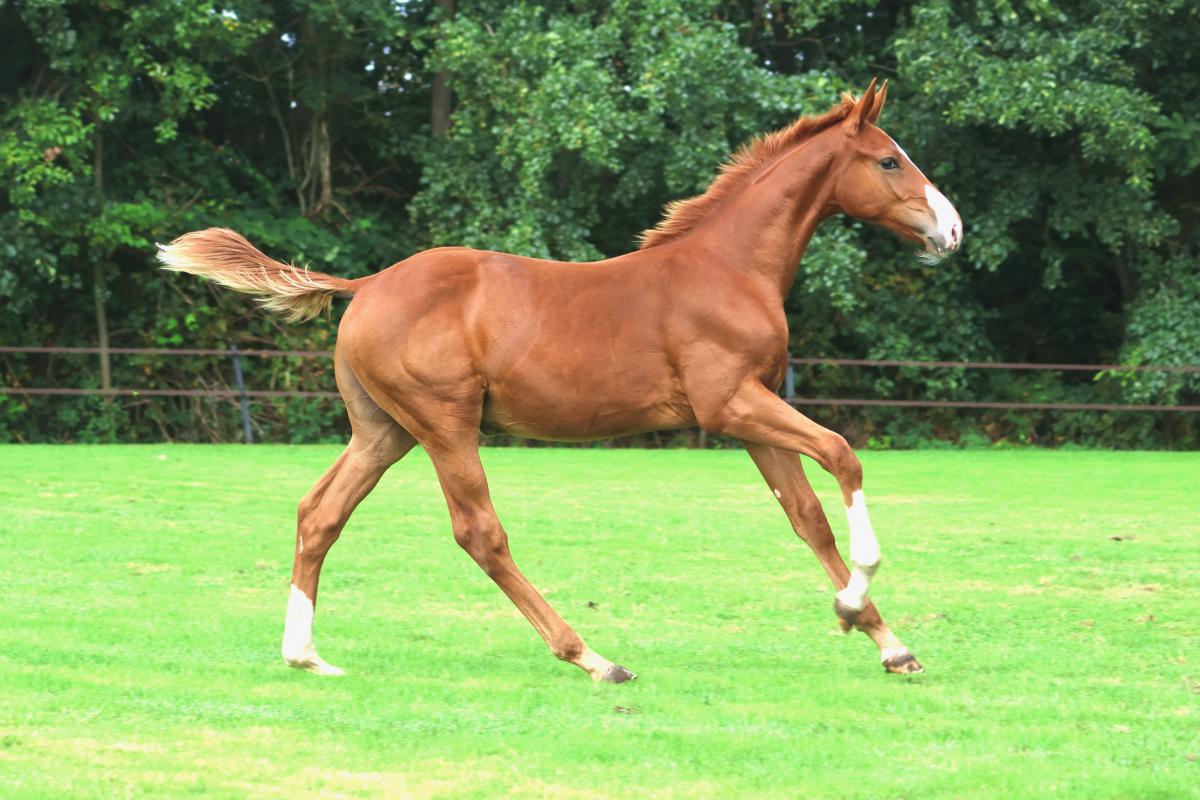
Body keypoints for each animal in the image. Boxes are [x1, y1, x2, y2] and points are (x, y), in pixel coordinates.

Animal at [159, 79, 961, 682]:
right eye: (889, 161)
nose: (951, 231)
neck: (728, 268)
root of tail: (368, 284)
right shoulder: (730, 404)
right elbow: (843, 455)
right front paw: (858, 601)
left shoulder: (750, 414)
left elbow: (806, 516)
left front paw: (887, 642)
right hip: (445, 424)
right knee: (479, 533)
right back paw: (593, 658)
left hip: (384, 431)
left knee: (320, 513)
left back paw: (305, 654)